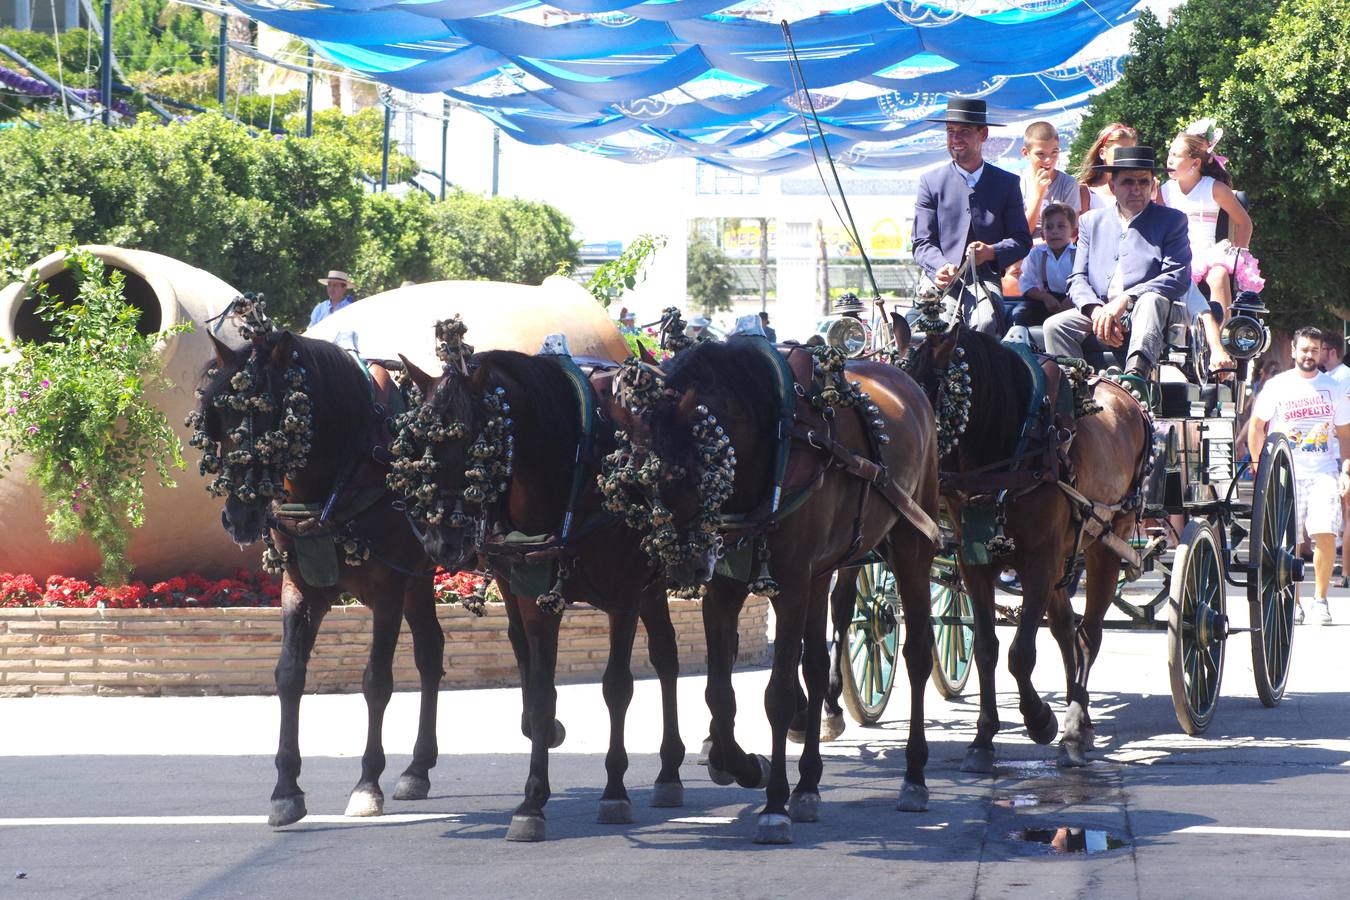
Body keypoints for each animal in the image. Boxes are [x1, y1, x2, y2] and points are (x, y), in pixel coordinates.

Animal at [191, 313, 442, 825]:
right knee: (431, 652)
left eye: (272, 420)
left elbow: (377, 681)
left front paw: (367, 784)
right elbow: (289, 675)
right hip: (420, 580)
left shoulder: (388, 587)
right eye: (220, 421)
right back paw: (418, 768)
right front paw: (286, 789)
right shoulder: (301, 585)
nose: (239, 517)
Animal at [394, 340, 685, 847]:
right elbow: (541, 687)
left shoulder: (625, 597)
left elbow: (617, 687)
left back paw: (676, 768)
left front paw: (614, 791)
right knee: (665, 656)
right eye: (418, 444)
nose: (439, 543)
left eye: (476, 444)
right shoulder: (534, 599)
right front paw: (533, 799)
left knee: (669, 662)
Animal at [610, 335, 939, 847]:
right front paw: (744, 766)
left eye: (691, 473)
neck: (772, 439)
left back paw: (914, 778)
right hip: (824, 571)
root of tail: (906, 381)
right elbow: (719, 693)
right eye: (639, 486)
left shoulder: (791, 585)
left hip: (910, 543)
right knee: (817, 664)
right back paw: (809, 784)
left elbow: (779, 695)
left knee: (918, 653)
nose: (681, 565)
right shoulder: (724, 590)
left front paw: (774, 805)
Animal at [901, 323, 1155, 766]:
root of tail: (1128, 395)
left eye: (925, 399)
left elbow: (1021, 653)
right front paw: (983, 737)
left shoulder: (1039, 561)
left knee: (1089, 635)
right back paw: (1079, 717)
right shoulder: (974, 562)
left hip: (1107, 540)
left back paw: (1075, 727)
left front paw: (1041, 720)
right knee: (1066, 630)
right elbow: (987, 647)